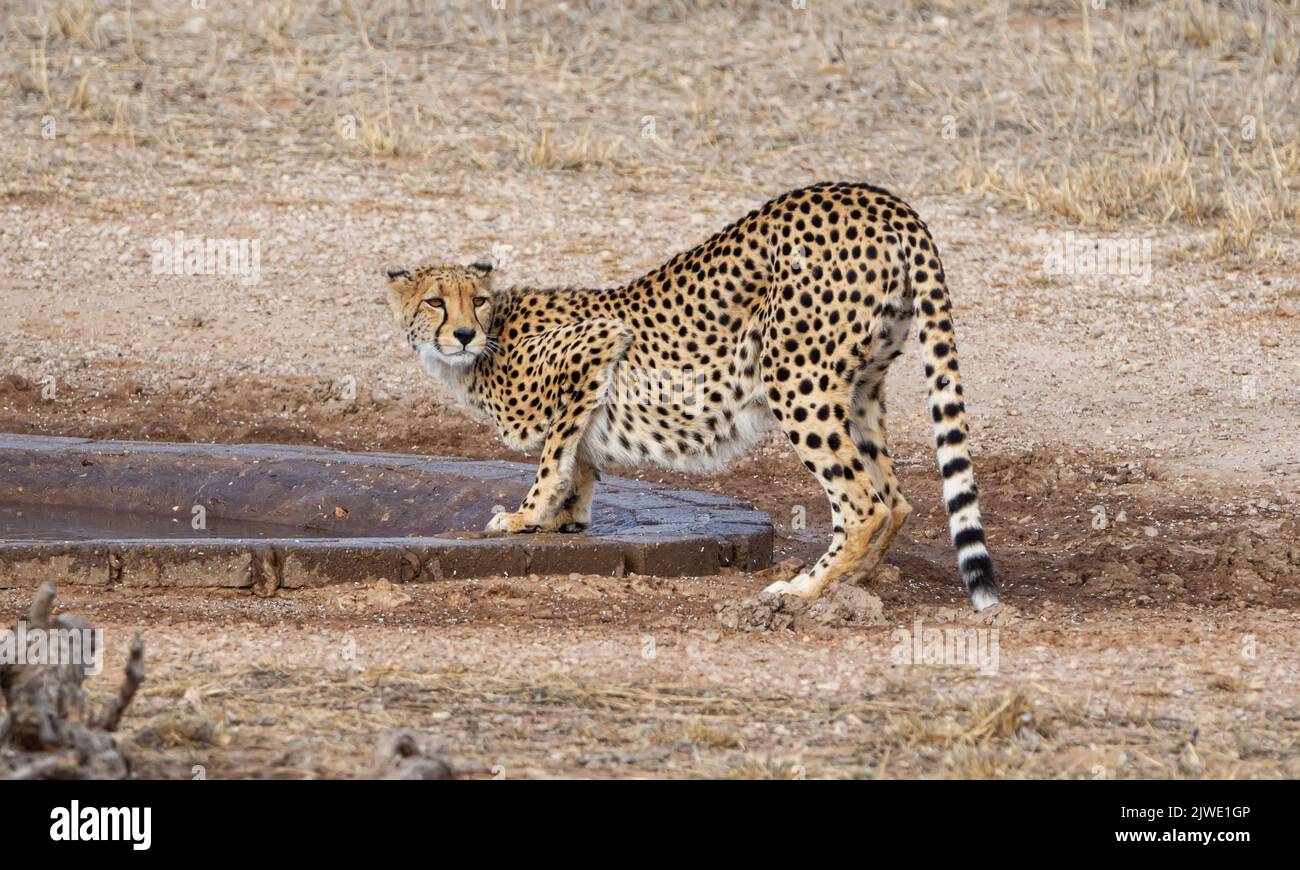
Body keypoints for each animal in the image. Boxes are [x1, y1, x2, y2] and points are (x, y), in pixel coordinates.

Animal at [384, 181, 1000, 610]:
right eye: (436, 301)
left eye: (477, 300)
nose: (464, 334)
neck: (487, 345)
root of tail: (875, 197)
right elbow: (578, 459)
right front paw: (566, 519)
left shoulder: (598, 341)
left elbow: (554, 455)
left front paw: (526, 515)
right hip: (861, 386)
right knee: (894, 499)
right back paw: (854, 582)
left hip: (793, 376)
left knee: (862, 502)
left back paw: (804, 589)